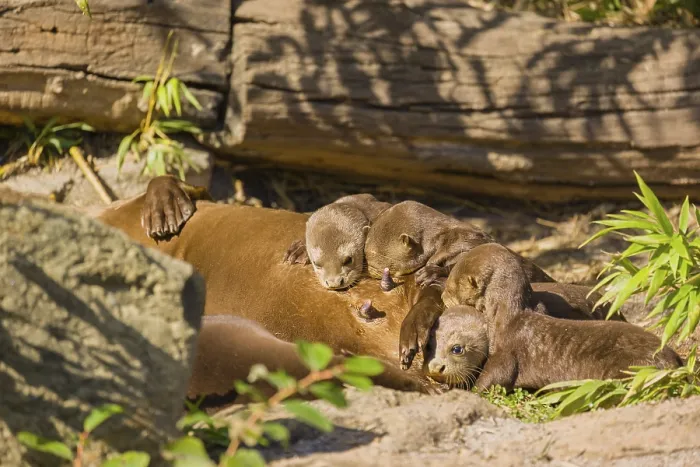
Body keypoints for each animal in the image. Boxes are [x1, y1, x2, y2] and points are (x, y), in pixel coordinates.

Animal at [432, 243, 682, 392]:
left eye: (452, 286)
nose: (442, 296)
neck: (503, 318)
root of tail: (674, 361)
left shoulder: (505, 353)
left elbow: (493, 377)